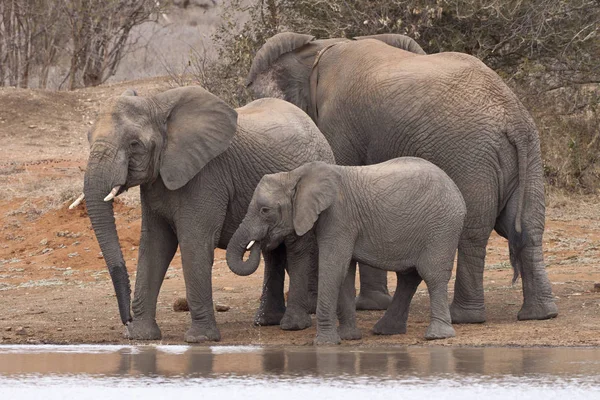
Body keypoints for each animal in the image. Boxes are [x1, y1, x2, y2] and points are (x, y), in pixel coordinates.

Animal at [82, 86, 336, 340]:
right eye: (88, 138)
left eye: (134, 144)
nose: (126, 321)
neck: (157, 104)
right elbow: (155, 245)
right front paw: (141, 336)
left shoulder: (207, 175)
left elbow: (194, 243)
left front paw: (200, 338)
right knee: (273, 252)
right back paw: (266, 322)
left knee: (297, 248)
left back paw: (293, 324)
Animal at [227, 157, 466, 344]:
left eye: (265, 210)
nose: (260, 242)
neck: (294, 175)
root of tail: (457, 190)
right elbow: (345, 272)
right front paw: (349, 337)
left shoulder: (339, 217)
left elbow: (334, 268)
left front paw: (325, 343)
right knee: (408, 277)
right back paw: (386, 331)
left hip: (442, 227)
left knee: (431, 274)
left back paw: (437, 336)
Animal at [244, 32, 556, 324]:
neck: (321, 48)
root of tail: (513, 117)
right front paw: (373, 304)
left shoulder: (339, 126)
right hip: (527, 152)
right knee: (526, 227)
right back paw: (540, 314)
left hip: (472, 156)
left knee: (474, 231)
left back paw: (464, 317)